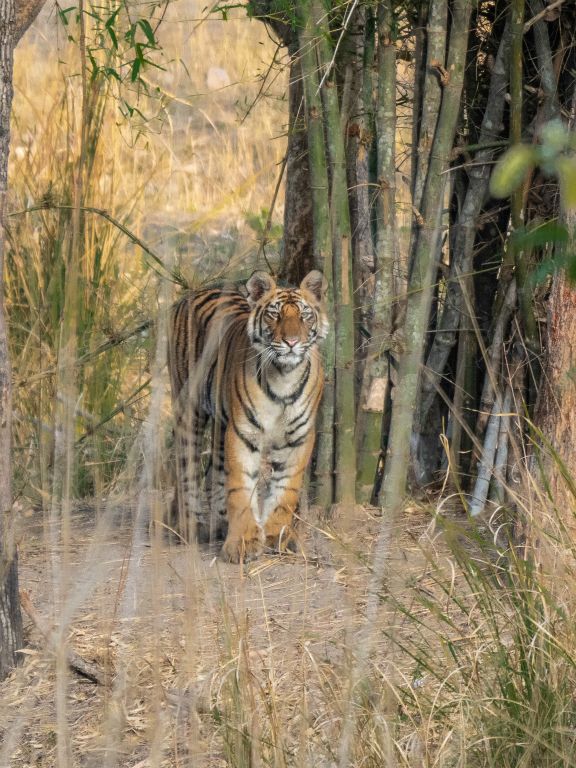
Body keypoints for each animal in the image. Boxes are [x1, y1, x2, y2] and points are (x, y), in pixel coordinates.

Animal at [168, 270, 328, 564]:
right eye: (274, 315)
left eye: (304, 315)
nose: (292, 342)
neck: (284, 376)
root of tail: (191, 293)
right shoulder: (243, 433)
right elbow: (241, 487)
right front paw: (242, 542)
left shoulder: (298, 437)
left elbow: (286, 490)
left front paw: (278, 535)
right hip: (188, 408)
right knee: (186, 466)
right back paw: (189, 524)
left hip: (220, 423)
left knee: (215, 469)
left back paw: (219, 524)